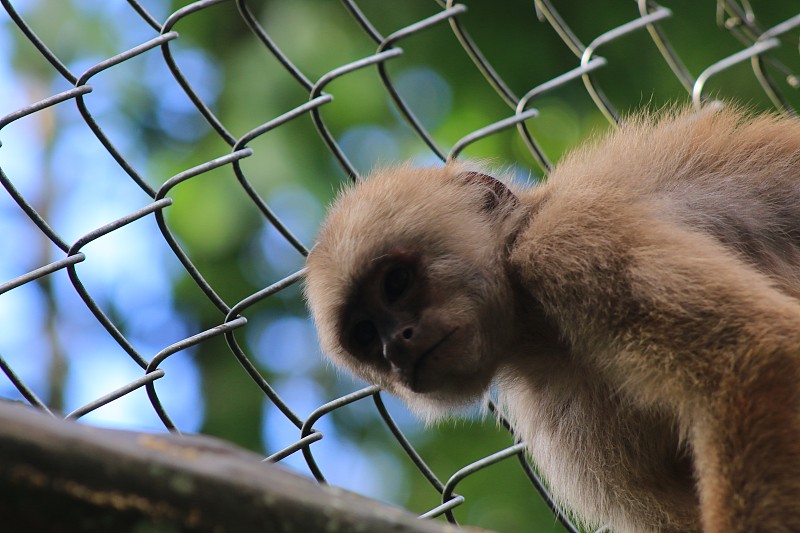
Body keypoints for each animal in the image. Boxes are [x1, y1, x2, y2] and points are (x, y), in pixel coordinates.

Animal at [304, 105, 800, 532]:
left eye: (397, 282)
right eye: (365, 335)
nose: (397, 346)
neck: (537, 326)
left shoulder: (569, 242)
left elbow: (759, 353)